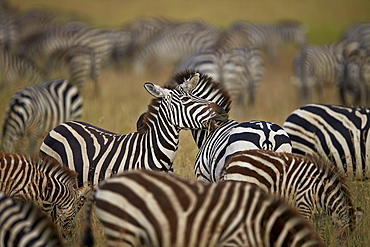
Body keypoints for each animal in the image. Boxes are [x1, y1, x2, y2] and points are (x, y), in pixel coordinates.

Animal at [221, 149, 362, 245]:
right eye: (346, 243)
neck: (322, 191)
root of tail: (230, 162)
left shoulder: (319, 216)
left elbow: (319, 234)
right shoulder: (304, 204)